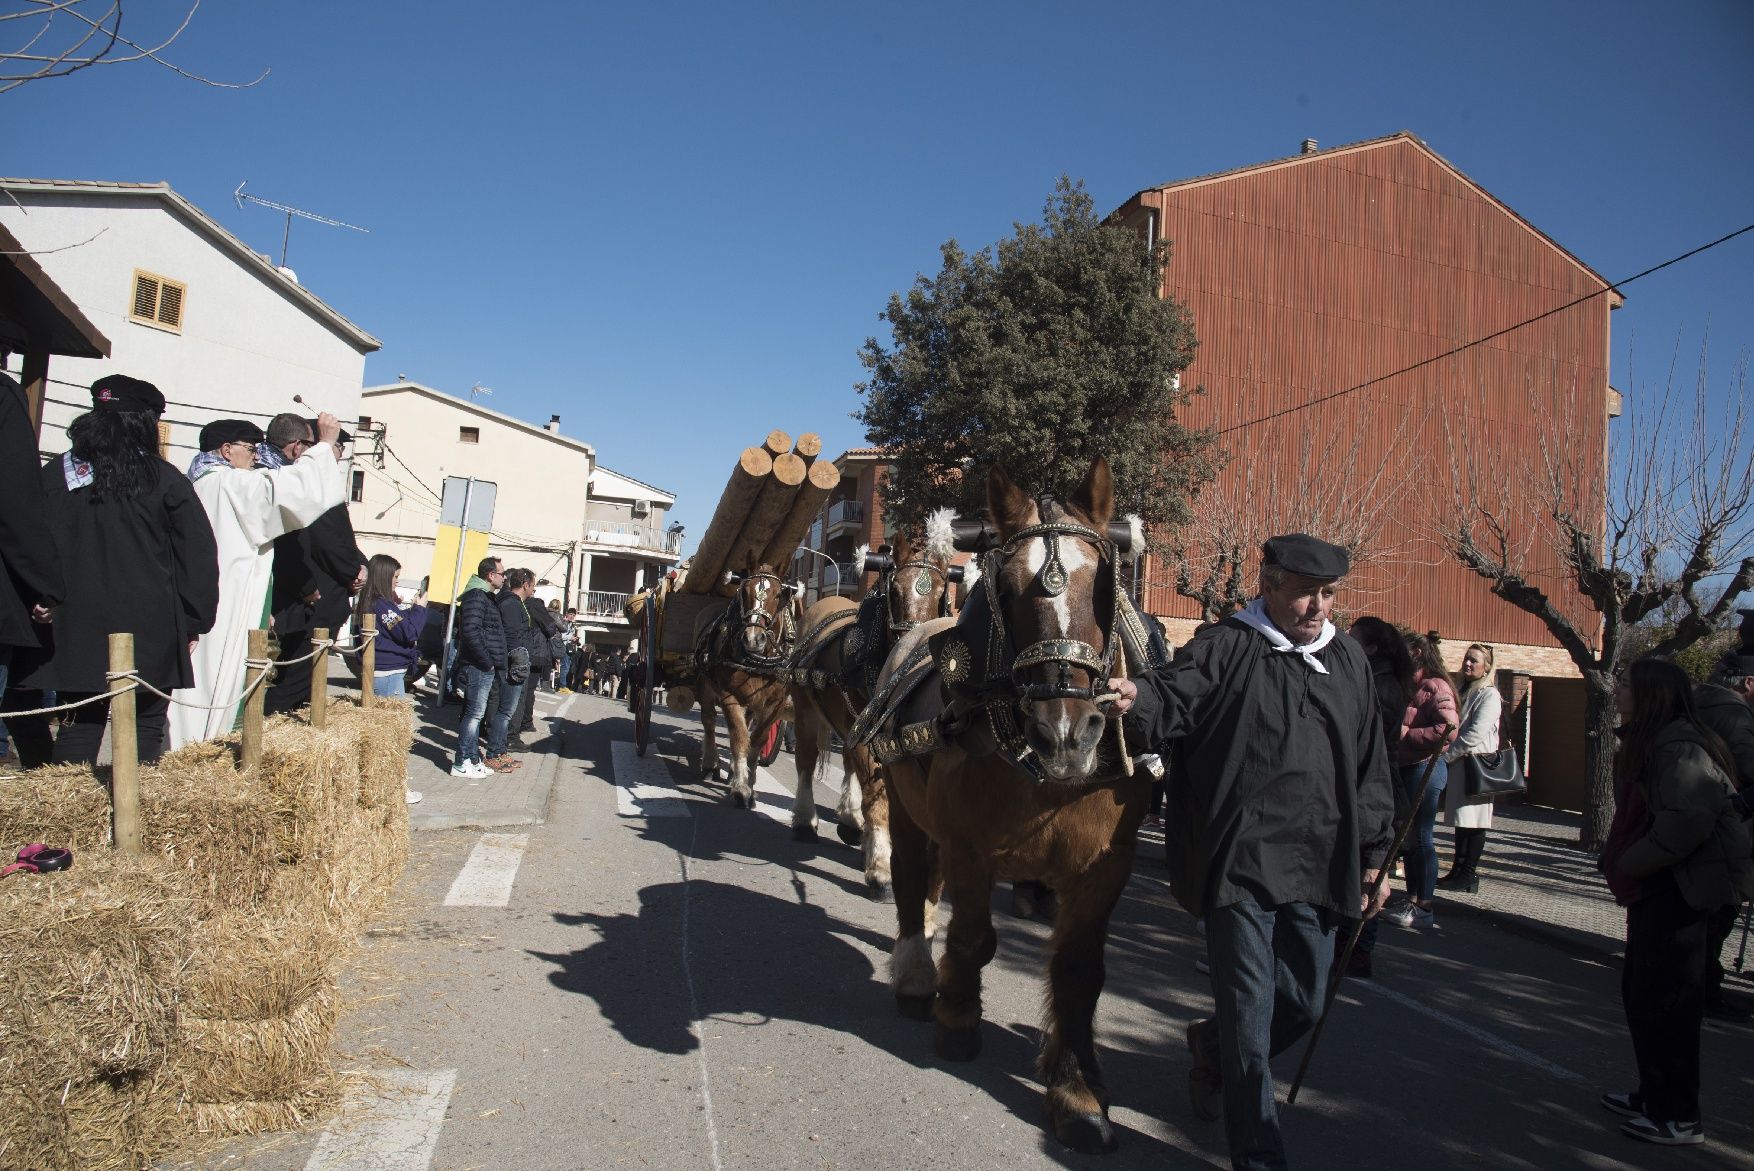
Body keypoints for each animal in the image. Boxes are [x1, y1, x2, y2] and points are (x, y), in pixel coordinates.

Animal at [691, 564, 803, 806]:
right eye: (744, 591)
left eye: (779, 594)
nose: (753, 638)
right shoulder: (729, 697)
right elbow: (739, 738)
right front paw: (741, 788)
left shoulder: (774, 704)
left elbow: (756, 741)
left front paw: (749, 784)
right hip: (705, 687)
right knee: (709, 722)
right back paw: (710, 763)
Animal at [789, 515, 968, 897]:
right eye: (895, 591)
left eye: (941, 592)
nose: (912, 644)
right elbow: (877, 796)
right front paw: (881, 866)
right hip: (806, 711)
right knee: (806, 762)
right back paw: (805, 820)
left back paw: (849, 819)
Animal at [873, 455, 1150, 1149]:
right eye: (1010, 586)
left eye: (1104, 582)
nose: (1066, 734)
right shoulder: (971, 849)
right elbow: (973, 938)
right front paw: (958, 1021)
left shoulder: (1105, 868)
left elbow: (1079, 971)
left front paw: (1076, 1091)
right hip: (905, 803)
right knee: (913, 876)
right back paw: (916, 975)